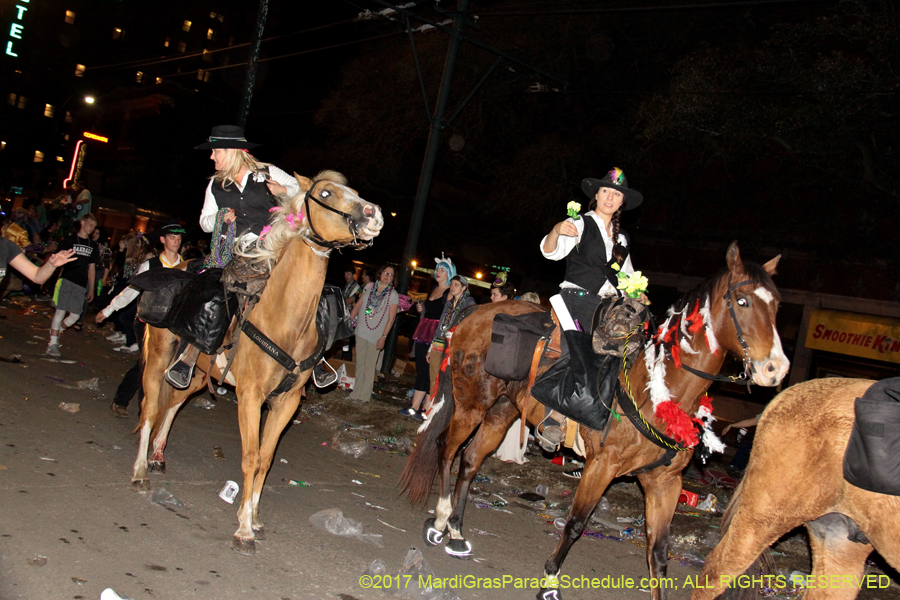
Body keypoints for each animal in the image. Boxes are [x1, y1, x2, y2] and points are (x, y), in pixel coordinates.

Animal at [132, 169, 382, 552]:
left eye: (353, 190)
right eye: (326, 192)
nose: (374, 214)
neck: (283, 316)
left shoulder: (286, 402)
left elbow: (265, 459)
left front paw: (253, 517)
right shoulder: (249, 396)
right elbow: (250, 458)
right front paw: (244, 530)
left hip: (197, 374)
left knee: (173, 401)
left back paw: (158, 456)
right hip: (158, 357)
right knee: (148, 409)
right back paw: (141, 471)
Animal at [400, 243, 788, 600]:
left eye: (777, 306)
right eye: (742, 301)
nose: (776, 368)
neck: (657, 392)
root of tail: (475, 313)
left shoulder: (665, 482)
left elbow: (659, 552)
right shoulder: (601, 466)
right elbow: (575, 524)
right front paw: (550, 581)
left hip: (502, 412)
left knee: (470, 460)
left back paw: (456, 532)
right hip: (472, 404)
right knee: (446, 448)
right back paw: (440, 519)